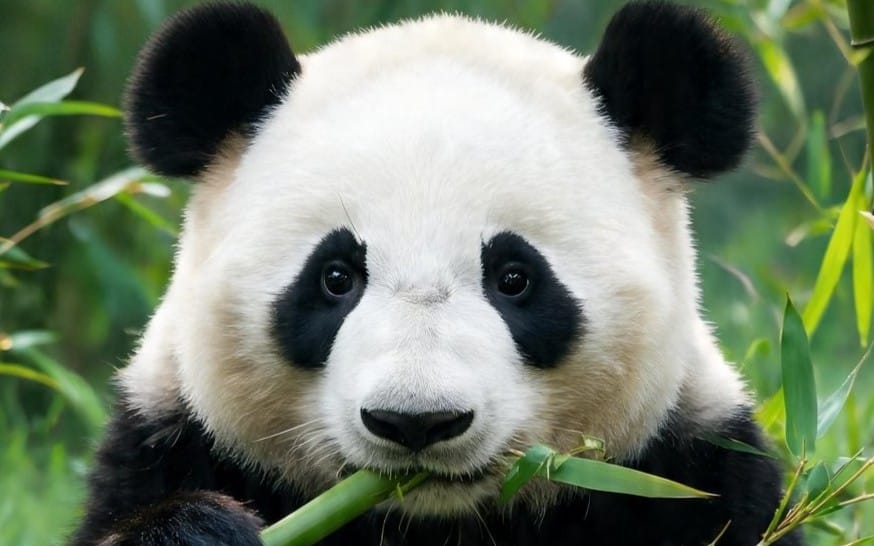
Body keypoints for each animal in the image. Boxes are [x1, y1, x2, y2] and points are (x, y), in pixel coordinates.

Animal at [71, 2, 802, 545]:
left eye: (515, 278)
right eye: (335, 278)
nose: (416, 421)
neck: (433, 521)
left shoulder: (693, 468)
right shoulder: (170, 441)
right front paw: (198, 530)